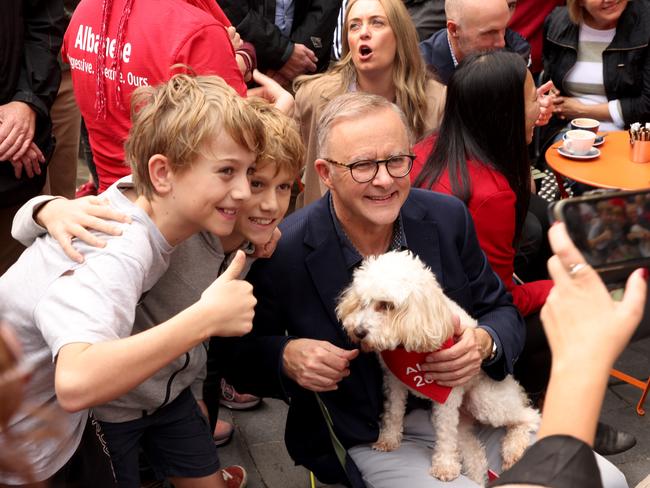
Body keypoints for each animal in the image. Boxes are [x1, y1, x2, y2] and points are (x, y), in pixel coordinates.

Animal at [336, 252, 540, 484]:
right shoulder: (394, 382)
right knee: (476, 457)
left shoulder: (447, 396)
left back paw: (513, 449)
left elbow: (445, 436)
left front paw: (444, 466)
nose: (358, 332)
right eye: (362, 302)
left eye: (387, 305)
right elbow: (393, 412)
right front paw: (388, 439)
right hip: (463, 423)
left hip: (485, 400)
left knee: (528, 416)